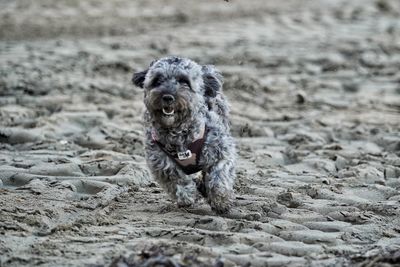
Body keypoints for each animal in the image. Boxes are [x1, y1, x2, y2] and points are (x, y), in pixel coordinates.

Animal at [133, 56, 236, 216]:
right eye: (157, 80)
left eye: (184, 81)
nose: (167, 97)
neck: (178, 132)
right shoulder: (160, 161)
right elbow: (176, 178)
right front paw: (186, 196)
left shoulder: (220, 151)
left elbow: (219, 176)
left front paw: (221, 201)